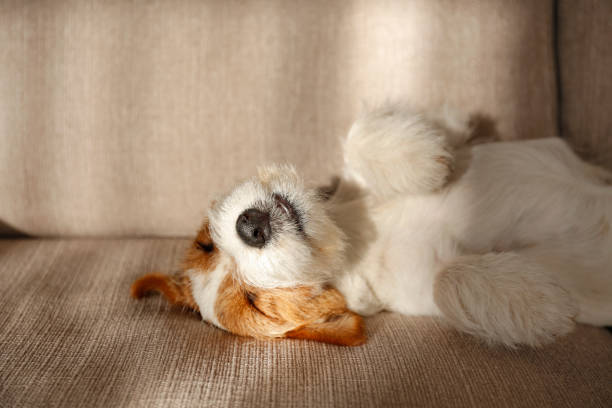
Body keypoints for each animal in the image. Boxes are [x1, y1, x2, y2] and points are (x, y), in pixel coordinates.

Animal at [131, 104, 612, 348]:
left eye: (205, 243)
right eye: (258, 305)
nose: (249, 226)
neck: (351, 240)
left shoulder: (459, 133)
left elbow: (362, 136)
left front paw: (426, 158)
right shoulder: (418, 290)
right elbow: (446, 277)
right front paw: (540, 301)